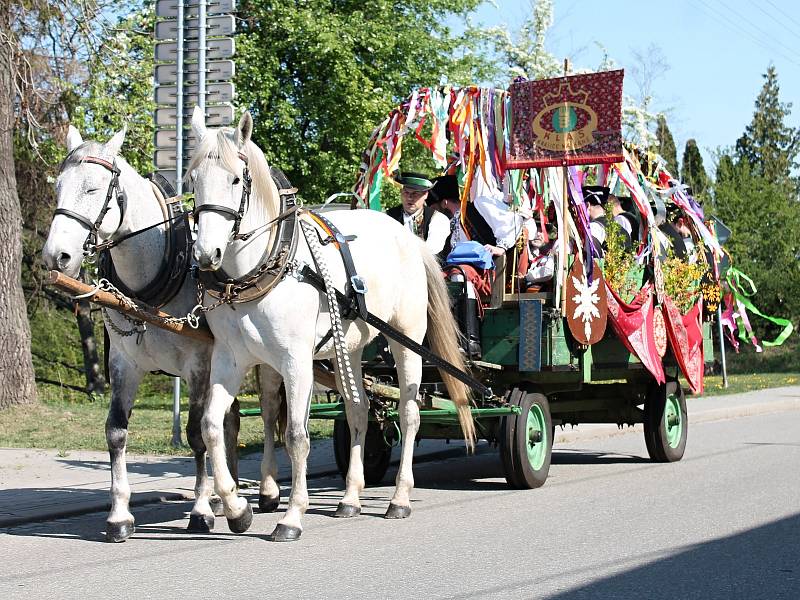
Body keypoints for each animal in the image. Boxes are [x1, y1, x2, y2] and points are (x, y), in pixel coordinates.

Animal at [40, 129, 255, 540]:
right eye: (57, 187)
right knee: (230, 421)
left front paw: (200, 510)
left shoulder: (199, 365)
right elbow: (116, 431)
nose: (55, 256)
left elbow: (196, 434)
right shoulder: (124, 363)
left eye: (93, 188)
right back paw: (231, 493)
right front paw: (119, 515)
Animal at [188, 108, 476, 544]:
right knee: (358, 411)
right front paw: (237, 509)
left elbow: (296, 435)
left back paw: (399, 498)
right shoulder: (231, 359)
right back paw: (351, 498)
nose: (207, 254)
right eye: (192, 179)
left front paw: (291, 516)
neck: (260, 269)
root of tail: (409, 239)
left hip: (407, 340)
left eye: (236, 180)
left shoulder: (295, 361)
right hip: (349, 348)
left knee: (409, 413)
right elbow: (210, 426)